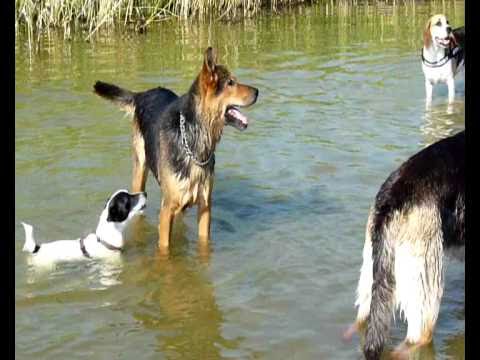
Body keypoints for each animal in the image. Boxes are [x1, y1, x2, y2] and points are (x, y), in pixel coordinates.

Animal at [94, 47, 258, 249]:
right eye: (231, 83)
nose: (258, 91)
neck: (194, 141)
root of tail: (142, 94)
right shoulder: (167, 210)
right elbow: (164, 248)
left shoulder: (205, 206)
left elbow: (204, 243)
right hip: (140, 169)